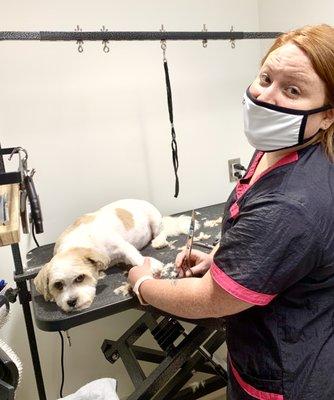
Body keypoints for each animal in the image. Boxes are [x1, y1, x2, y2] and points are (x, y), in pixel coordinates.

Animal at [34, 199, 192, 312]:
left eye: (80, 278)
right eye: (58, 285)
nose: (71, 302)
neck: (76, 244)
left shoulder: (121, 245)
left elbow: (134, 255)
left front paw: (150, 265)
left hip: (155, 221)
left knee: (162, 231)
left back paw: (159, 241)